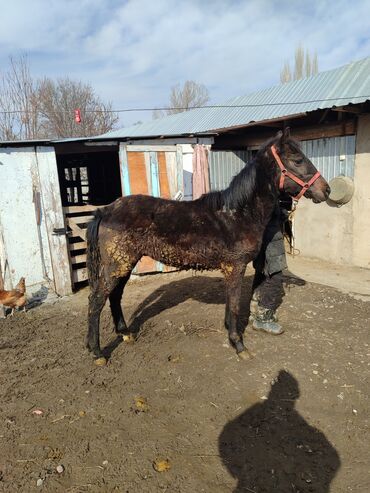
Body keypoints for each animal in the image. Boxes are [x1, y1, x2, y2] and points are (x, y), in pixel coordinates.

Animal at [84, 129, 330, 364]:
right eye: (297, 160)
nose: (326, 190)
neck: (238, 213)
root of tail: (105, 210)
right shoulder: (236, 267)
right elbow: (234, 305)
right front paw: (238, 345)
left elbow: (230, 304)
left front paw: (230, 333)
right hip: (118, 265)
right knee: (97, 300)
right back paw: (97, 353)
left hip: (124, 264)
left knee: (115, 296)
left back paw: (125, 334)